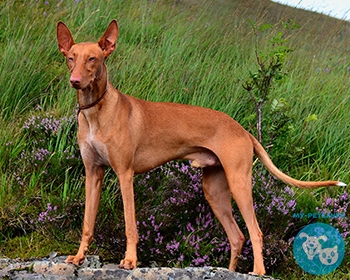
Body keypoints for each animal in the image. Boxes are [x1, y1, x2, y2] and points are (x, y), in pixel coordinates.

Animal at [55, 20, 344, 276]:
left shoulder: (125, 174)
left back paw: (258, 271)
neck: (96, 111)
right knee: (237, 236)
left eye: (93, 59)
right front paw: (78, 257)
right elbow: (87, 222)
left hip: (239, 182)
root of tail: (243, 130)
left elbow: (130, 225)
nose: (75, 81)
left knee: (256, 231)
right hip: (214, 191)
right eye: (71, 58)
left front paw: (130, 261)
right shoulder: (93, 173)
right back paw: (229, 271)